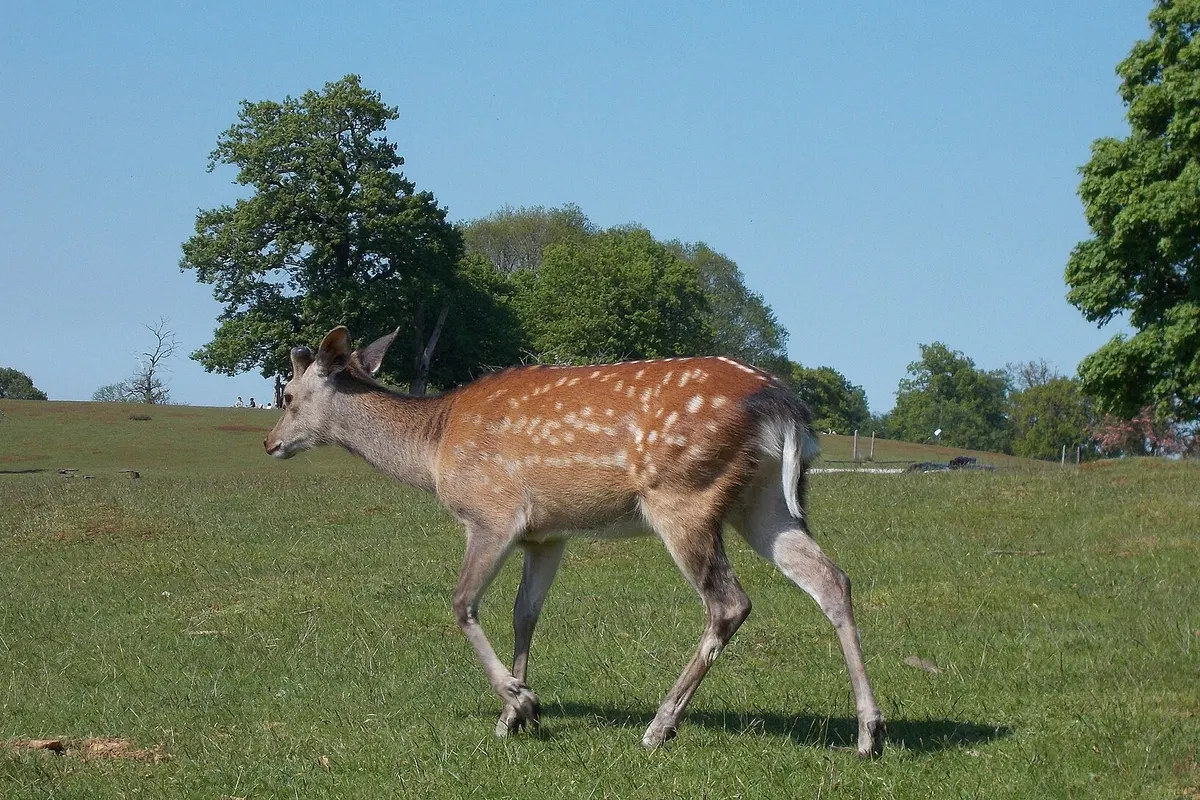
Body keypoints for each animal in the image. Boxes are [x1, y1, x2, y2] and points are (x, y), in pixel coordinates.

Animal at [264, 326, 885, 757]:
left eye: (288, 394)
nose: (270, 443)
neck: (434, 448)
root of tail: (786, 408)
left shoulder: (492, 514)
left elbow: (462, 604)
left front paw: (519, 700)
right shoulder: (547, 534)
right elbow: (525, 615)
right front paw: (515, 712)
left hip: (684, 495)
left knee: (729, 602)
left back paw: (659, 726)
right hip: (765, 503)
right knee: (832, 579)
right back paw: (869, 733)